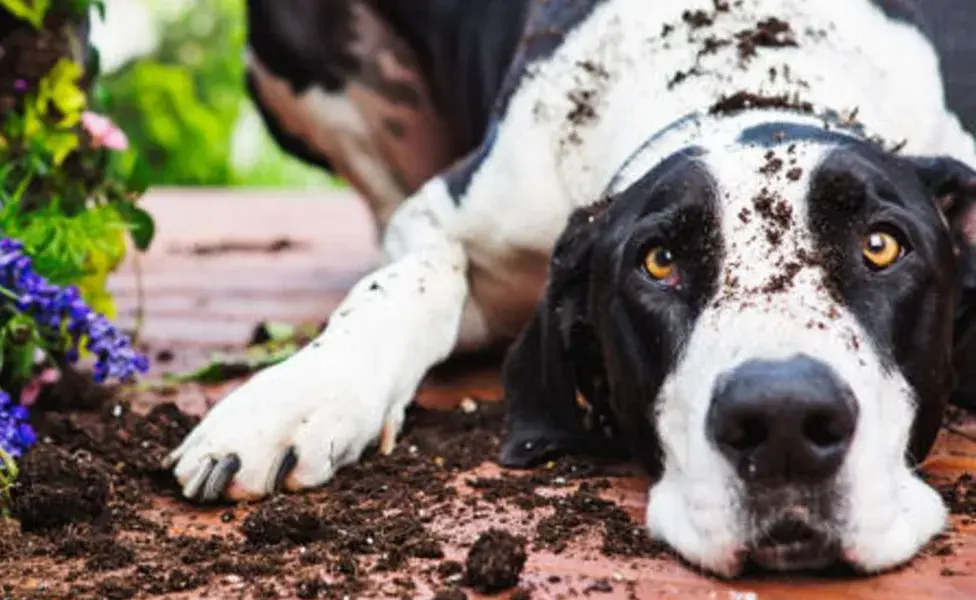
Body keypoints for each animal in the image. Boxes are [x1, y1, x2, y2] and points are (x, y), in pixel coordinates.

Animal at [164, 1, 976, 580]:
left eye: (881, 245)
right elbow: (407, 281)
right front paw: (295, 399)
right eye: (658, 261)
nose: (782, 422)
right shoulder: (445, 214)